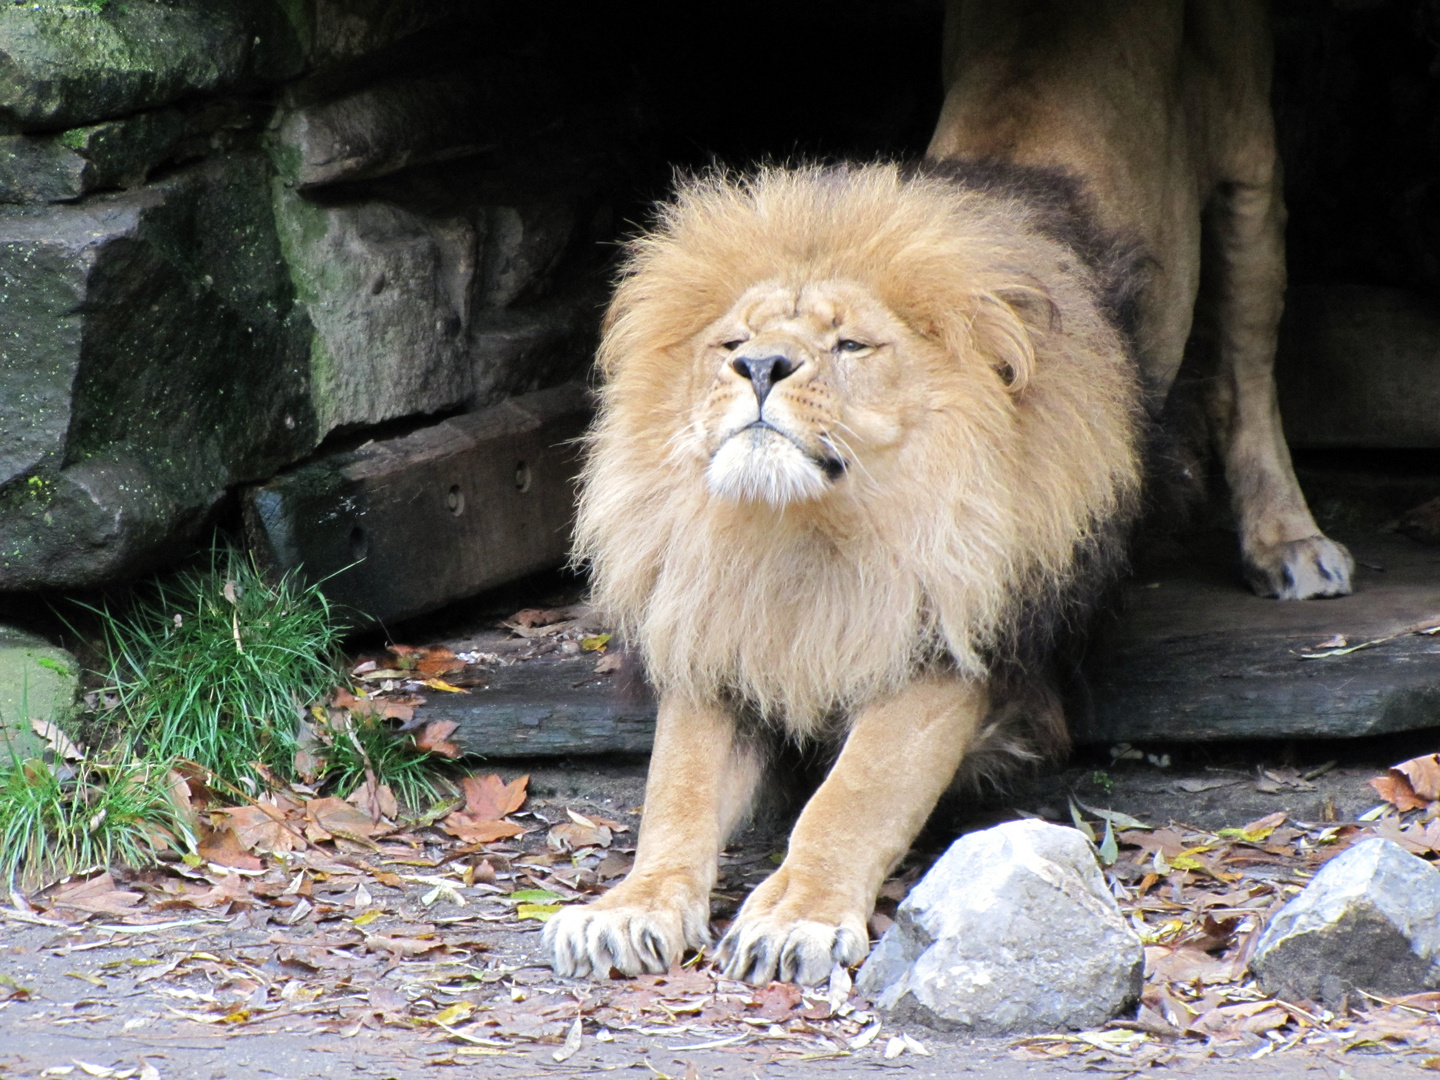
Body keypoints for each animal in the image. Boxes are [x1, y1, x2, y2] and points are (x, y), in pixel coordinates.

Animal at [541, 0, 1347, 990]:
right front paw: (629, 907)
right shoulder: (720, 632)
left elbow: (856, 791)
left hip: (1248, 182)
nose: (760, 366)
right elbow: (677, 791)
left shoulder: (952, 642)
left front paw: (797, 919)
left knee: (1248, 361)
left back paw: (1287, 541)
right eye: (730, 341)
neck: (813, 535)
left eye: (851, 345)